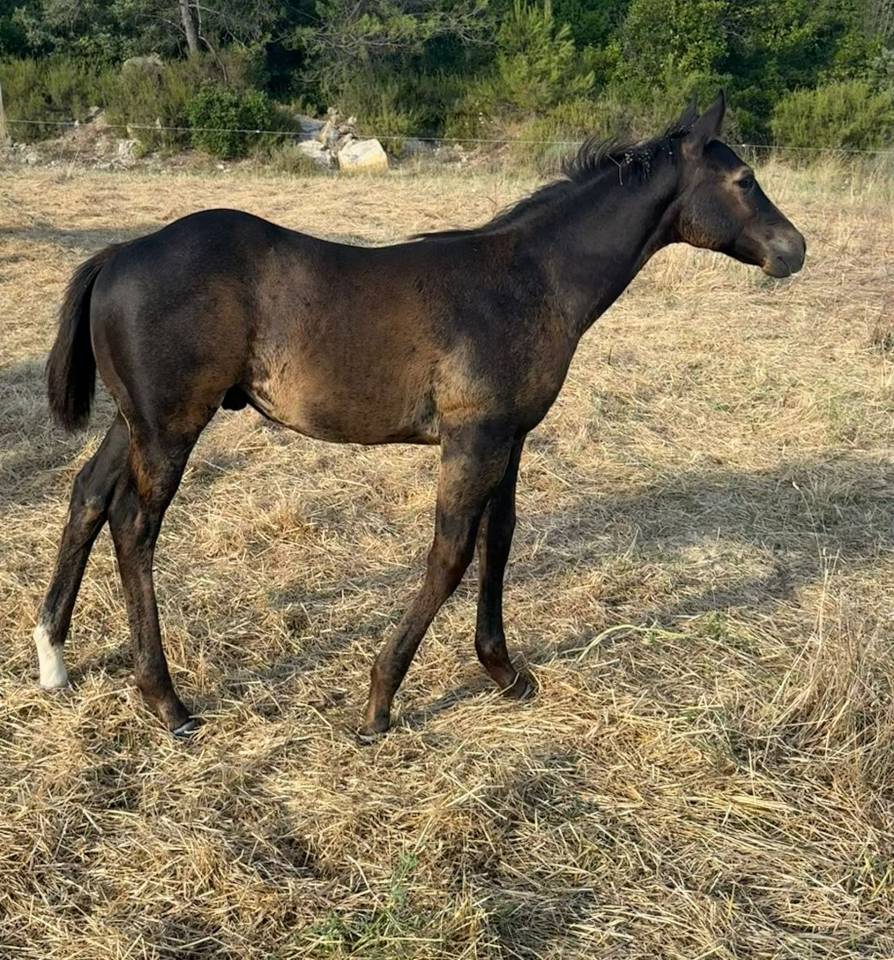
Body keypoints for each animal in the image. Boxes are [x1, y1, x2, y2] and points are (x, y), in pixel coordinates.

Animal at [34, 93, 805, 739]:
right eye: (744, 180)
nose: (794, 249)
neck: (530, 279)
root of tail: (119, 253)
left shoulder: (510, 437)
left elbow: (499, 538)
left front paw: (504, 671)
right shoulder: (474, 436)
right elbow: (451, 553)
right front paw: (379, 700)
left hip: (135, 421)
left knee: (88, 495)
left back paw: (52, 658)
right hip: (171, 426)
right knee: (134, 526)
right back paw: (166, 700)